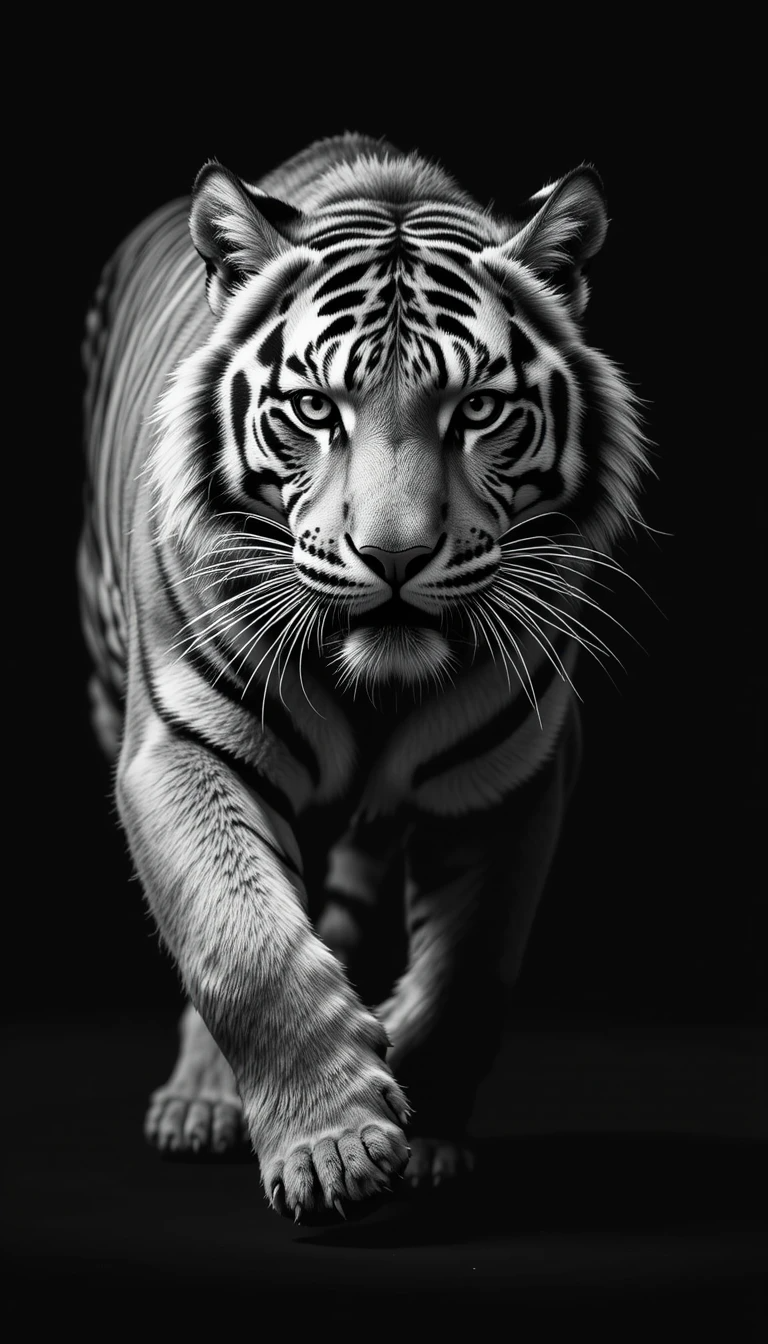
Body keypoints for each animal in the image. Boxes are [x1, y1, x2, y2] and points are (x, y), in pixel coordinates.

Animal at [78, 132, 647, 1221]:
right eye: (314, 409)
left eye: (478, 410)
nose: (393, 556)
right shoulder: (176, 745)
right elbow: (242, 944)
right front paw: (332, 1148)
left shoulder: (514, 774)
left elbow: (470, 968)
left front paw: (420, 1130)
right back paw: (200, 1104)